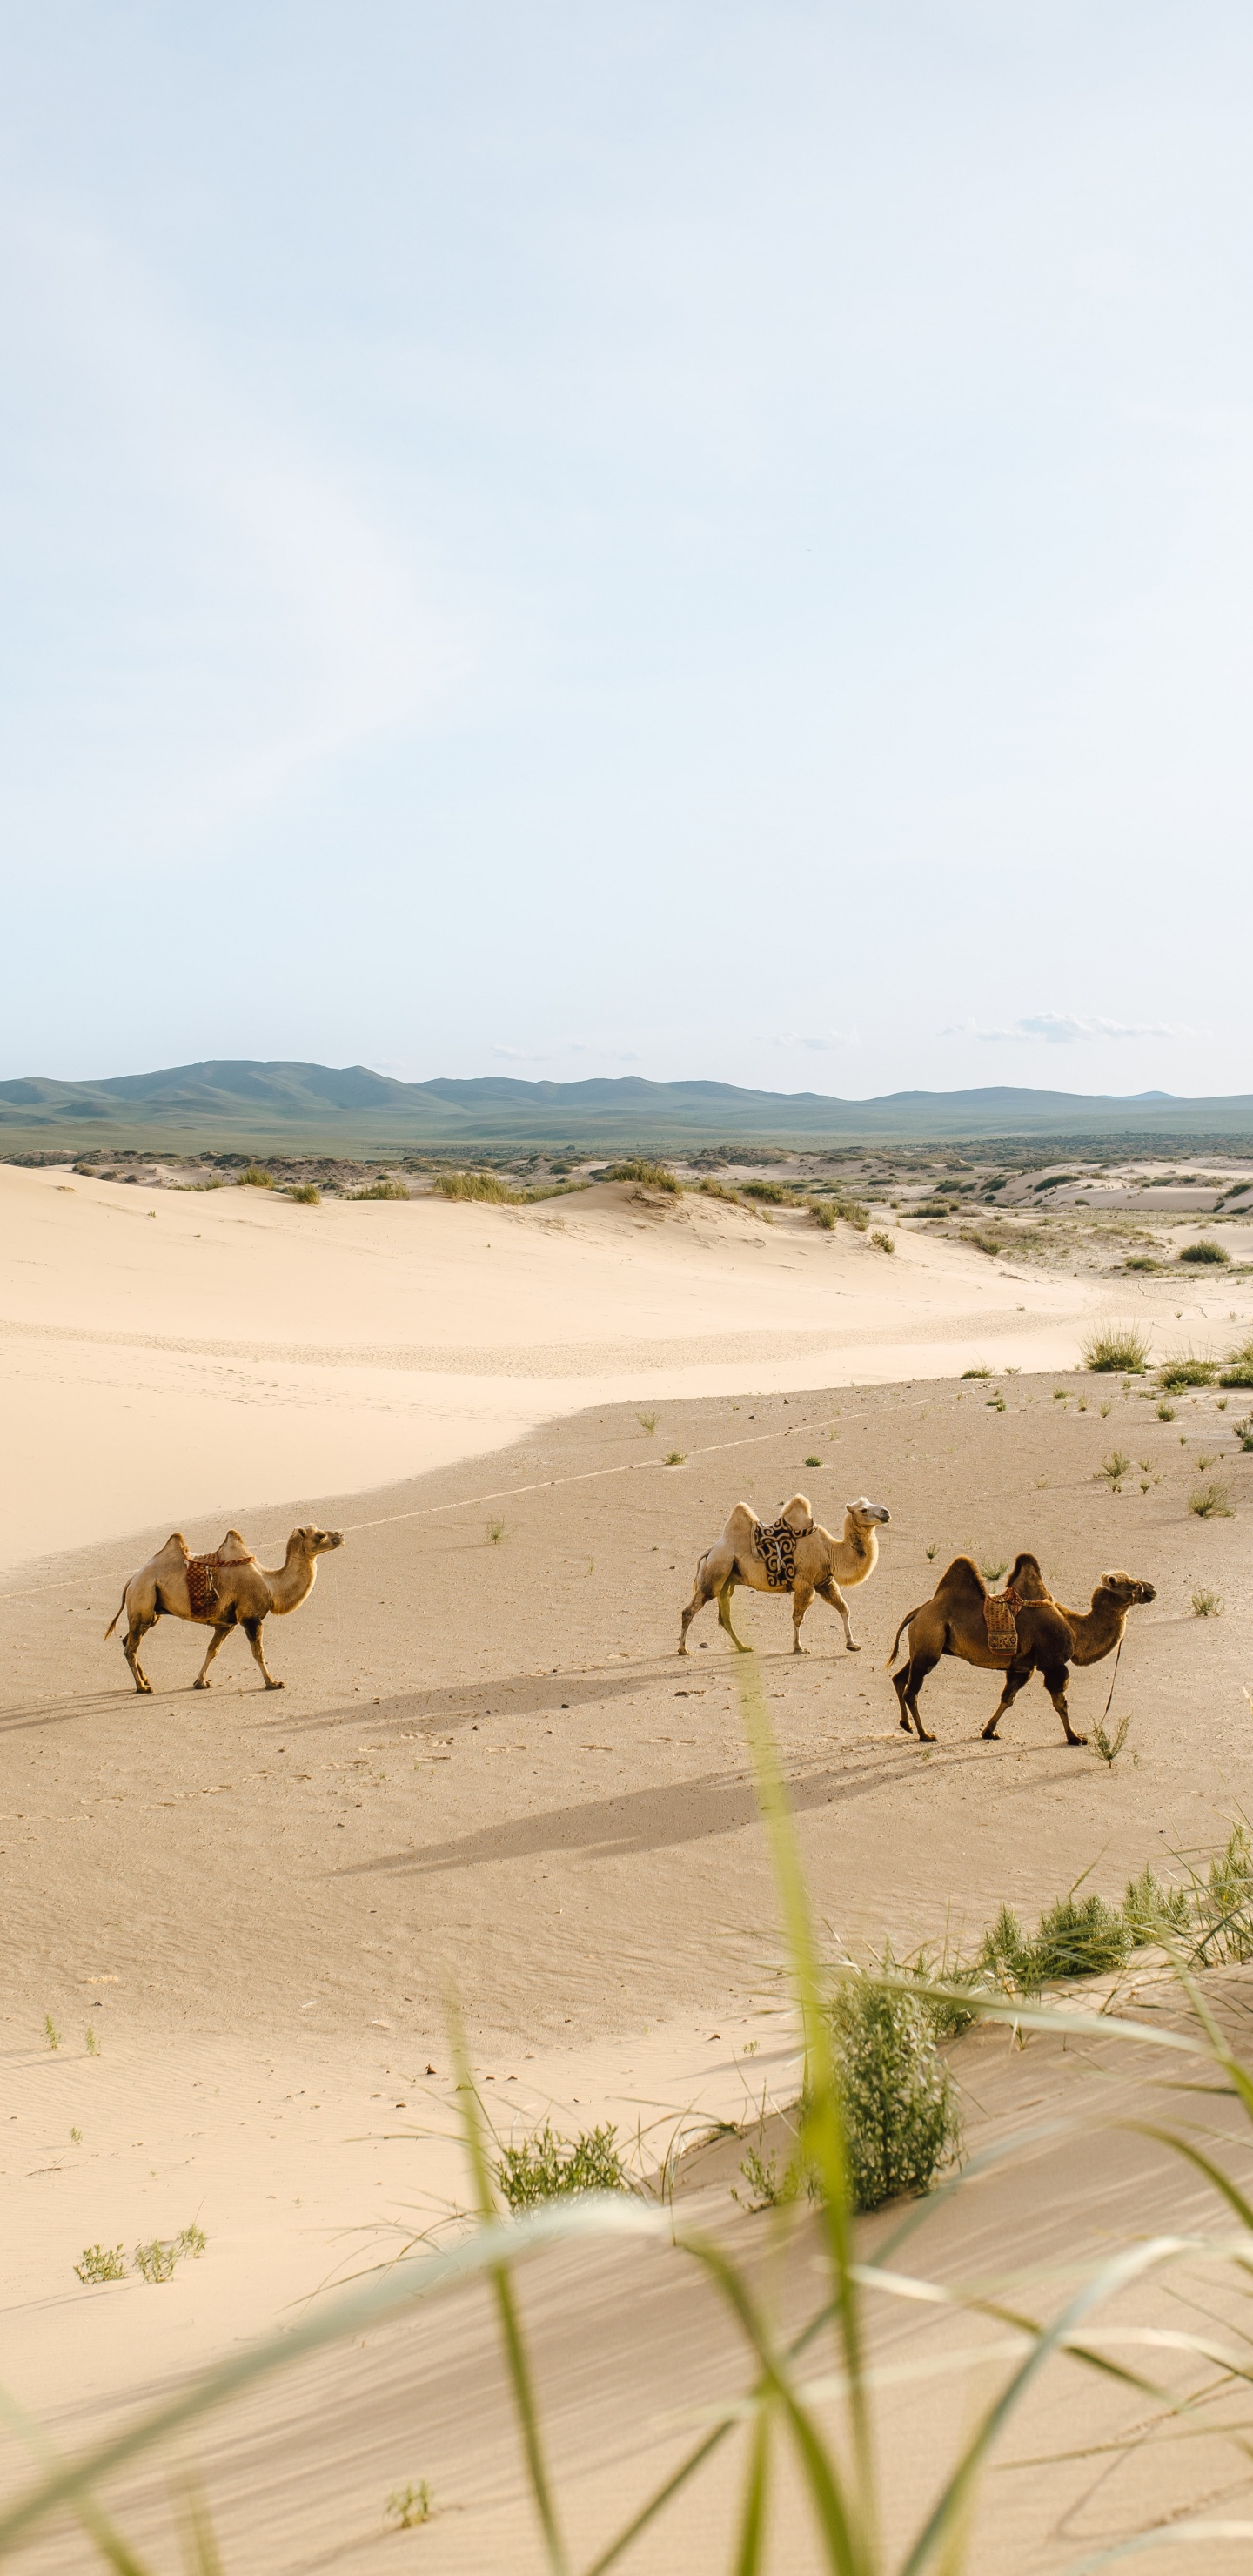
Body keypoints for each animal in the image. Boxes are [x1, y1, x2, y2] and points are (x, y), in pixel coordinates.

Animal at [105, 1524, 344, 1694]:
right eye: (319, 1535)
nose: (340, 1535)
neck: (270, 1585)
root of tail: (132, 1580)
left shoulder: (227, 1623)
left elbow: (212, 1650)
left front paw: (200, 1682)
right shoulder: (251, 1617)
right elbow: (258, 1652)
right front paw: (273, 1682)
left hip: (151, 1609)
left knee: (128, 1640)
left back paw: (145, 1680)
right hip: (143, 1598)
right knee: (131, 1647)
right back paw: (142, 1687)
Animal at [679, 1494, 890, 1656]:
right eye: (863, 1510)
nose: (886, 1513)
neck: (829, 1550)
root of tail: (710, 1551)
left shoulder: (825, 1582)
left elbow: (844, 1609)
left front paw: (852, 1644)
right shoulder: (805, 1585)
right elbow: (798, 1618)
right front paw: (798, 1647)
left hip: (725, 1583)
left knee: (725, 1618)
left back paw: (743, 1647)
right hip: (715, 1573)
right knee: (689, 1611)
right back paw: (683, 1650)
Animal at [886, 1554, 1155, 1745]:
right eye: (1130, 1584)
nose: (1151, 1589)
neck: (1075, 1628)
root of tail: (918, 1612)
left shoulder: (1023, 1666)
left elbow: (1008, 1698)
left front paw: (989, 1731)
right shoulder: (1053, 1664)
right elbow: (1061, 1702)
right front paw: (1075, 1738)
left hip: (924, 1647)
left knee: (899, 1678)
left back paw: (906, 1725)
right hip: (929, 1643)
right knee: (912, 1691)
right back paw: (925, 1735)